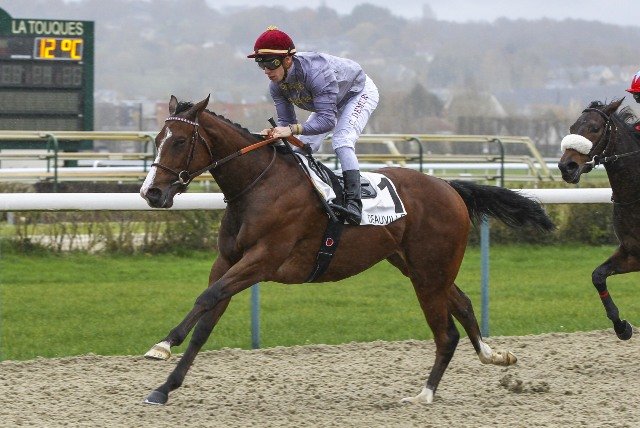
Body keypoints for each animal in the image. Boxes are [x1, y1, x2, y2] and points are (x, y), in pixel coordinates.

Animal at [139, 95, 555, 405]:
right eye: (158, 137)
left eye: (179, 141)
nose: (151, 193)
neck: (259, 186)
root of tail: (450, 187)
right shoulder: (228, 260)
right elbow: (207, 318)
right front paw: (164, 387)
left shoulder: (264, 259)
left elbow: (208, 297)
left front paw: (163, 344)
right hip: (418, 267)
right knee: (464, 305)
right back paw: (494, 355)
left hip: (429, 272)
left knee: (446, 333)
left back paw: (424, 394)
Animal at [558, 98, 640, 340]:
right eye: (572, 128)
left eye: (595, 128)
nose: (566, 166)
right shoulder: (632, 252)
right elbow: (598, 276)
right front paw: (622, 327)